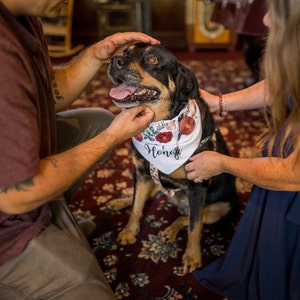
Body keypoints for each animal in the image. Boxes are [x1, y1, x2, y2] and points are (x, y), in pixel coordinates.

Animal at [106, 43, 236, 276]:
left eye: (153, 60)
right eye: (126, 51)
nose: (114, 60)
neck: (161, 123)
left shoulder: (197, 186)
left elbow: (195, 226)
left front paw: (192, 256)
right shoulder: (141, 172)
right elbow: (137, 205)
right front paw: (129, 231)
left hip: (222, 208)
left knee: (189, 217)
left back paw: (171, 230)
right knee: (147, 197)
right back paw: (120, 201)